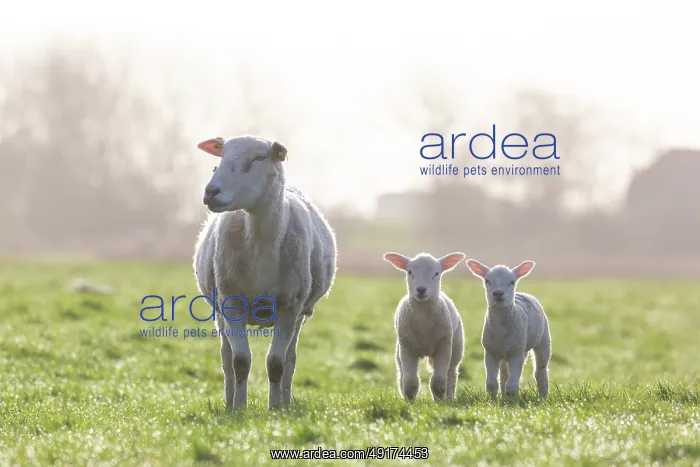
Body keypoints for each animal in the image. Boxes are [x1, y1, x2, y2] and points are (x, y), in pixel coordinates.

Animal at [193, 135, 337, 410]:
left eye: (259, 157)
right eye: (221, 156)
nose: (210, 192)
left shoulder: (290, 307)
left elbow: (276, 363)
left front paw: (274, 409)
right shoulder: (231, 304)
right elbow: (239, 361)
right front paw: (239, 408)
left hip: (301, 313)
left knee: (290, 358)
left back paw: (285, 401)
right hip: (220, 310)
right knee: (226, 357)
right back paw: (229, 401)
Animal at [383, 252, 466, 403]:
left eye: (436, 273)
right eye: (410, 272)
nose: (421, 289)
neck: (424, 324)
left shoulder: (443, 345)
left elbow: (438, 381)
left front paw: (439, 402)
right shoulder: (407, 347)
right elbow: (410, 381)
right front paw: (409, 402)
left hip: (456, 348)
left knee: (451, 373)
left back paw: (450, 398)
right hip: (398, 351)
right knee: (401, 374)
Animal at [465, 259, 551, 399]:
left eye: (512, 282)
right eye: (487, 281)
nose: (498, 293)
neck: (501, 332)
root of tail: (523, 294)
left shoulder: (517, 351)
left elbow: (512, 384)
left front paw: (511, 400)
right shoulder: (490, 351)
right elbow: (491, 383)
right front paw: (493, 400)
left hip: (543, 341)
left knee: (540, 371)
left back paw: (543, 395)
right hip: (506, 353)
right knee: (504, 374)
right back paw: (504, 395)